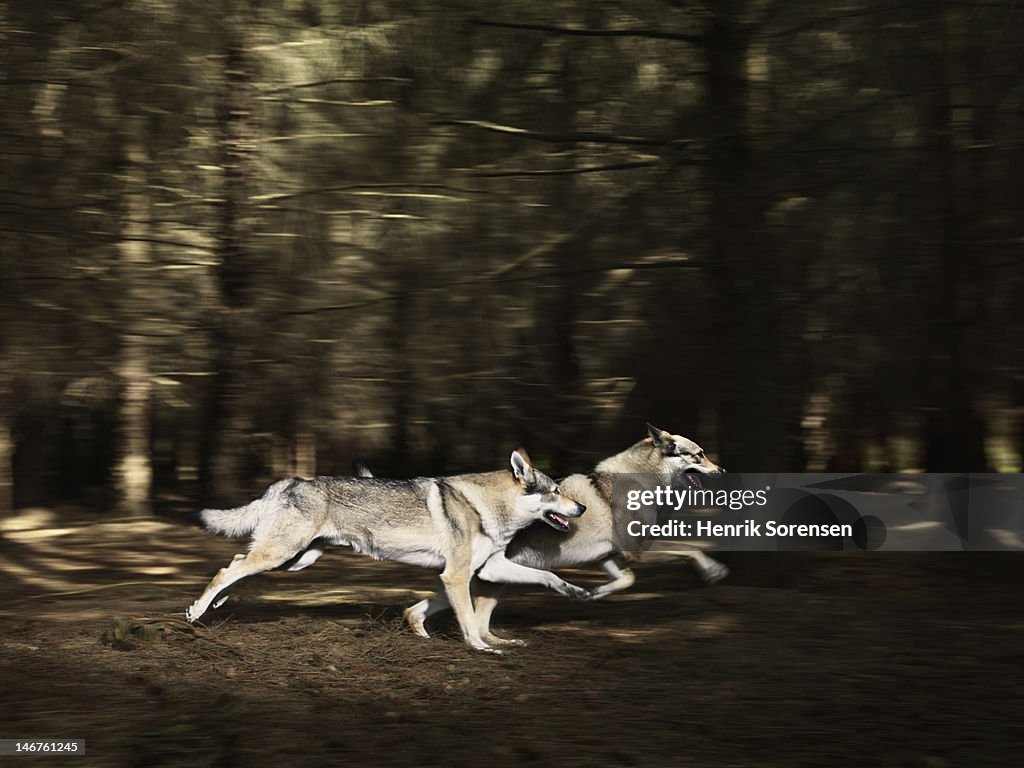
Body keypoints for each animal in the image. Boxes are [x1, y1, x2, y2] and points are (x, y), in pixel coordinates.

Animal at [183, 450, 585, 655]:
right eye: (555, 491)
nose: (581, 508)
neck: (488, 508)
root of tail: (289, 480)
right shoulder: (456, 575)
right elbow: (470, 620)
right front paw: (482, 649)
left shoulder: (479, 571)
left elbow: (547, 576)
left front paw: (577, 591)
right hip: (283, 554)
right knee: (227, 570)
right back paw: (197, 610)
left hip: (294, 560)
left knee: (236, 566)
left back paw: (217, 603)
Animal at [399, 423, 729, 647]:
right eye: (700, 455)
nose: (723, 471)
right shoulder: (638, 549)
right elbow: (689, 548)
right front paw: (714, 570)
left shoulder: (608, 557)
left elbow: (626, 580)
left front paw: (592, 594)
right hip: (493, 579)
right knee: (474, 623)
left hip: (484, 579)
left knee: (420, 610)